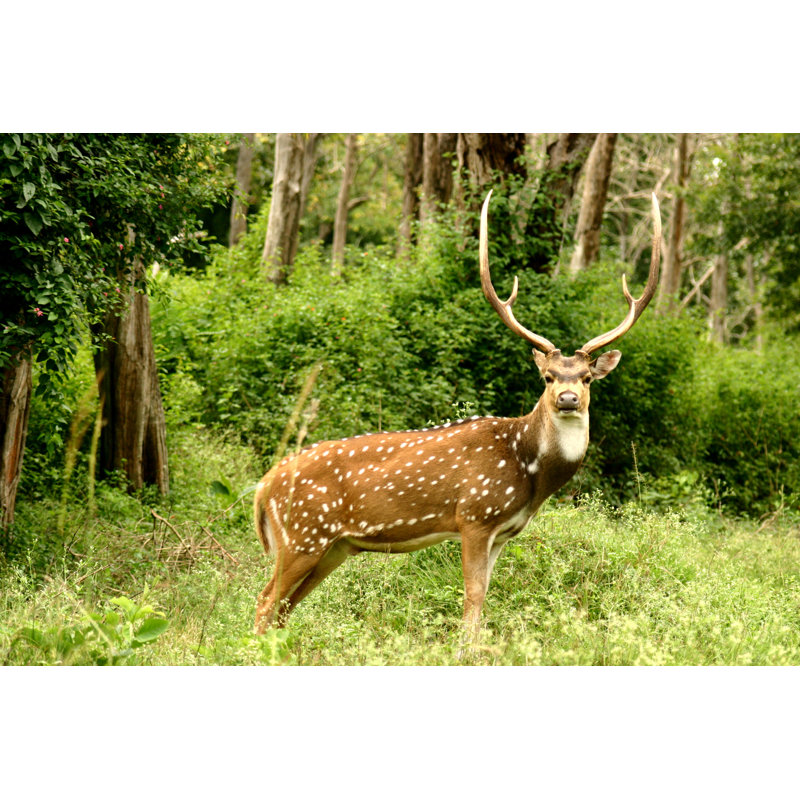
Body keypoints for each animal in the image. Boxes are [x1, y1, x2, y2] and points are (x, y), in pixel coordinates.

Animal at [253, 190, 662, 642]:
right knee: (266, 601)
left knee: (284, 607)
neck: (530, 471)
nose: (569, 399)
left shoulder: (504, 532)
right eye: (548, 376)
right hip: (304, 534)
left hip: (334, 546)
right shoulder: (475, 516)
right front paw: (464, 649)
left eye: (588, 377)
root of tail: (262, 488)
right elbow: (473, 597)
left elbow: (484, 596)